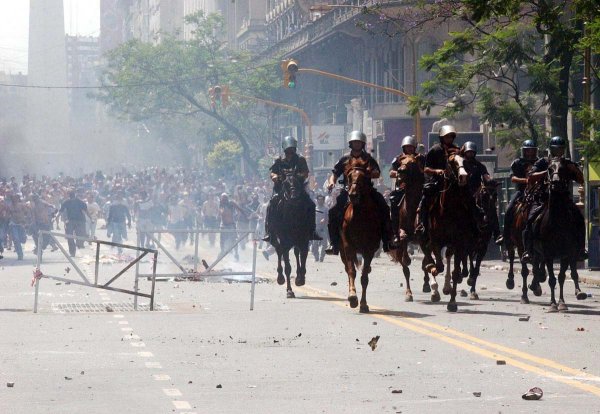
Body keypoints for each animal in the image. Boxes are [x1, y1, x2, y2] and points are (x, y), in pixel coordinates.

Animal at [270, 168, 312, 298]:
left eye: (298, 181)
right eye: (285, 183)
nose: (294, 197)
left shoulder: (304, 241)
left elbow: (303, 261)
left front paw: (300, 279)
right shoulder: (284, 242)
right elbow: (287, 267)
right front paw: (289, 290)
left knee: (296, 253)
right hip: (276, 239)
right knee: (279, 252)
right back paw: (280, 278)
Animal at [340, 157, 382, 312]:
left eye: (364, 178)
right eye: (349, 176)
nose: (353, 195)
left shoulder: (369, 249)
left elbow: (364, 278)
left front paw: (363, 304)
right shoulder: (348, 246)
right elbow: (352, 271)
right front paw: (352, 297)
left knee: (366, 271)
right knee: (348, 269)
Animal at [420, 154, 476, 312]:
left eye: (465, 161)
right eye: (452, 162)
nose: (463, 176)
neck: (447, 210)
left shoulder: (458, 243)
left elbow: (455, 271)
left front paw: (452, 302)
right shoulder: (435, 241)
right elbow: (438, 266)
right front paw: (432, 271)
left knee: (447, 257)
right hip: (424, 237)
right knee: (428, 254)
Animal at [536, 158, 584, 310]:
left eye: (563, 169)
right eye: (549, 169)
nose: (556, 183)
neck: (557, 222)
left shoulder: (566, 252)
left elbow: (562, 277)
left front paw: (562, 303)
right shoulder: (548, 253)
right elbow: (552, 279)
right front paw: (552, 303)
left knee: (573, 269)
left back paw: (579, 291)